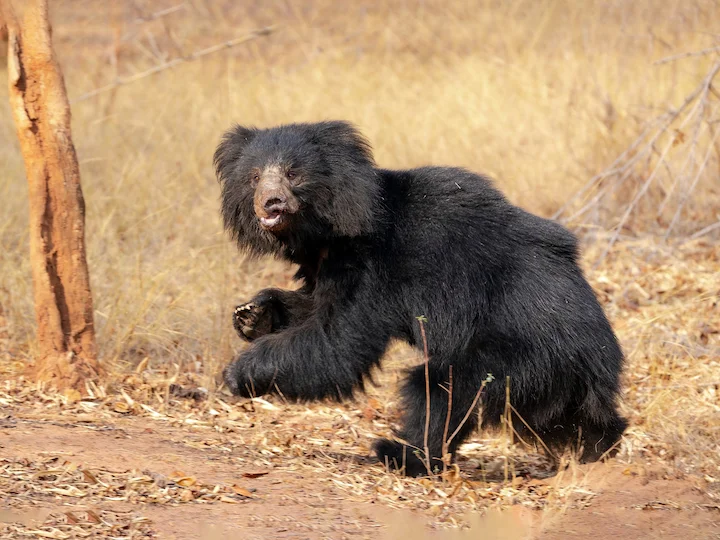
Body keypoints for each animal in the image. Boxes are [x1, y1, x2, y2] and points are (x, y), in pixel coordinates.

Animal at [213, 120, 628, 477]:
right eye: (253, 177)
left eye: (292, 174)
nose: (271, 204)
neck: (328, 229)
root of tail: (602, 361)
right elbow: (314, 307)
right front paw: (252, 314)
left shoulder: (370, 266)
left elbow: (337, 342)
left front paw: (238, 371)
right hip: (553, 380)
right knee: (567, 421)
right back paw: (597, 448)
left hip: (518, 354)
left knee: (440, 390)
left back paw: (401, 454)